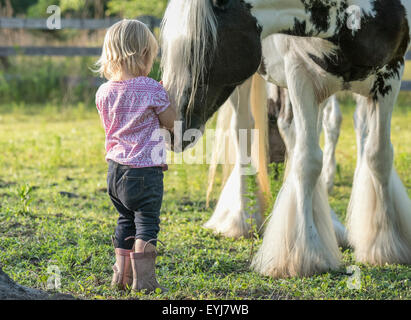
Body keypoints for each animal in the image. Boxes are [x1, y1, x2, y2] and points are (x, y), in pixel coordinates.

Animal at [162, 0, 411, 278]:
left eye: (196, 43)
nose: (170, 129)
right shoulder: (300, 74)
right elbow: (308, 162)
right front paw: (305, 253)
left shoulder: (391, 74)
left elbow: (378, 156)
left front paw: (387, 245)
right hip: (247, 84)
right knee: (244, 128)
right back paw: (243, 216)